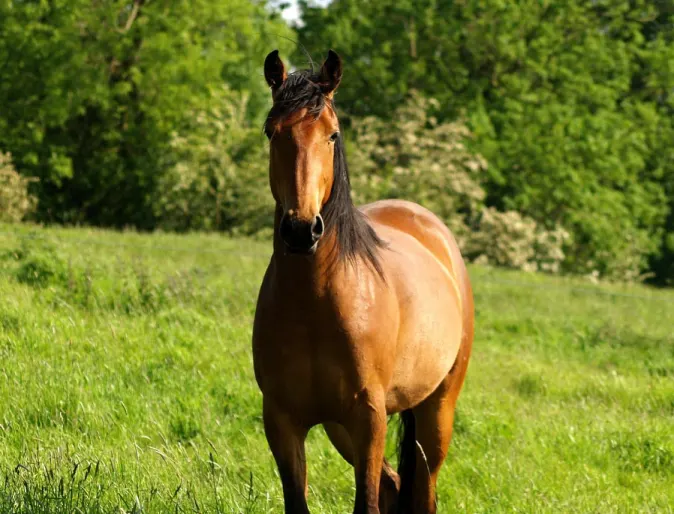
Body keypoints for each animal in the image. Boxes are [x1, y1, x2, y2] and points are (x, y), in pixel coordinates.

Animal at [252, 49, 472, 512]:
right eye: (271, 132)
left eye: (332, 135)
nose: (301, 230)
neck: (314, 303)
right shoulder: (282, 419)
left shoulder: (368, 417)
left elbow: (366, 503)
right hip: (341, 428)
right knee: (395, 485)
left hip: (436, 411)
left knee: (422, 488)